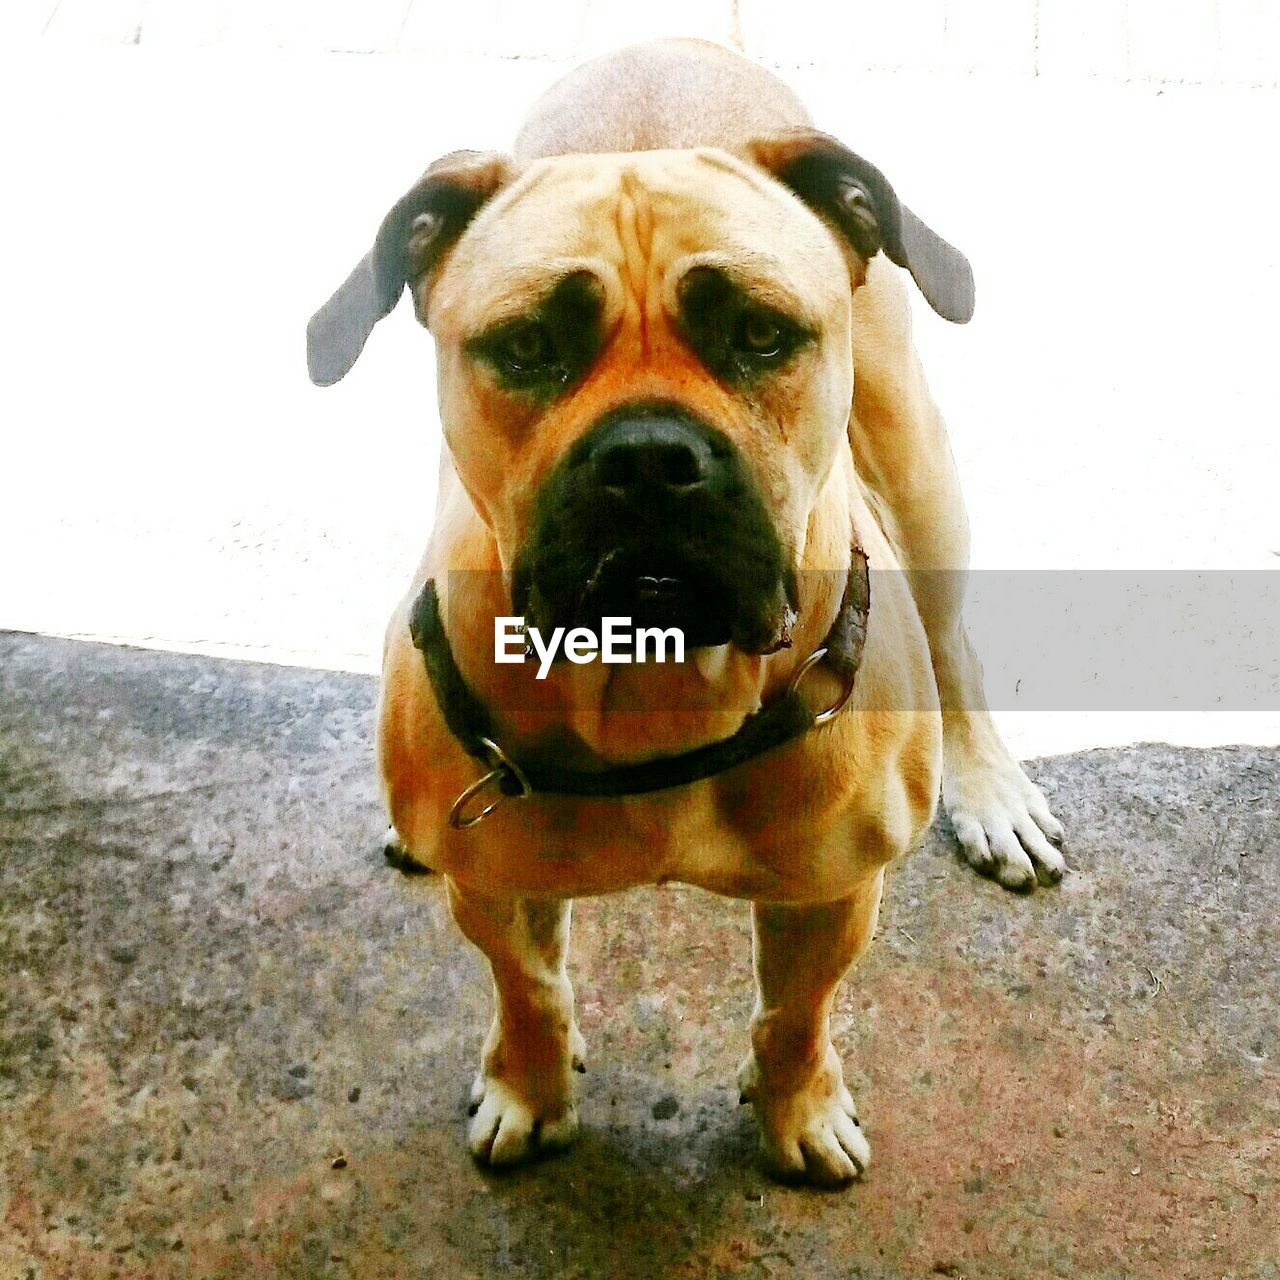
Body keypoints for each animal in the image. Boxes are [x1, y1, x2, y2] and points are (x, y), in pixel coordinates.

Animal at [307, 40, 1059, 1182]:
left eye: (760, 333)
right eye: (525, 346)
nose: (649, 458)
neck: (656, 680)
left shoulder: (830, 891)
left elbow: (793, 1013)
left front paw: (796, 1108)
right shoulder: (493, 888)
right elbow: (529, 987)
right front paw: (530, 1085)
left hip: (917, 466)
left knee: (954, 643)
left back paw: (991, 790)